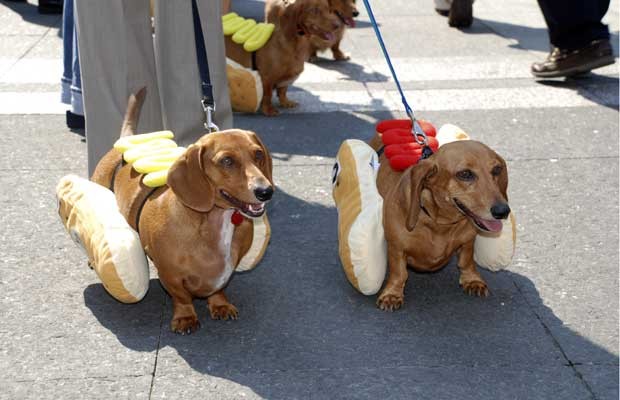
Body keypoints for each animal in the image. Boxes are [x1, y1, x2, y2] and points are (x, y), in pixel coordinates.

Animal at [91, 89, 274, 332]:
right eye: (227, 161)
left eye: (258, 154)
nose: (266, 192)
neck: (215, 220)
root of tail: (122, 143)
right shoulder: (170, 275)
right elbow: (182, 297)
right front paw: (185, 318)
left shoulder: (227, 270)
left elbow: (219, 289)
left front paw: (220, 305)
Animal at [372, 139, 508, 310]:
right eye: (465, 174)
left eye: (497, 169)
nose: (503, 211)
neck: (440, 223)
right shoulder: (396, 248)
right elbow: (399, 273)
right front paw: (392, 294)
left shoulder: (468, 241)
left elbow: (466, 261)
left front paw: (472, 280)